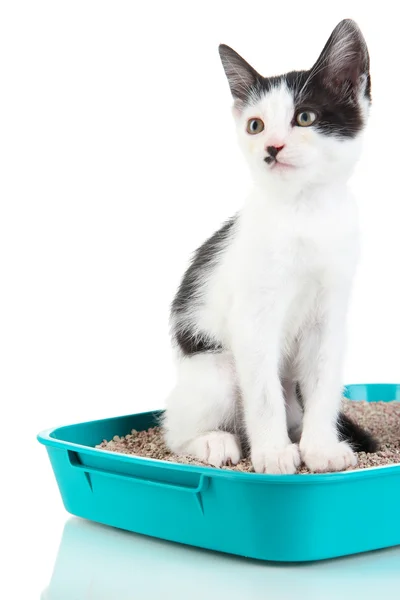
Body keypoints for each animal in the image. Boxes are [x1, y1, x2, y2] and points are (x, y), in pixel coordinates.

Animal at [162, 19, 376, 474]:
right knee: (174, 430)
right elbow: (262, 394)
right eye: (255, 125)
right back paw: (215, 442)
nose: (272, 147)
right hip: (217, 368)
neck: (303, 211)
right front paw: (274, 453)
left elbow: (324, 384)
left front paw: (320, 448)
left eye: (305, 117)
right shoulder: (252, 318)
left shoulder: (329, 318)